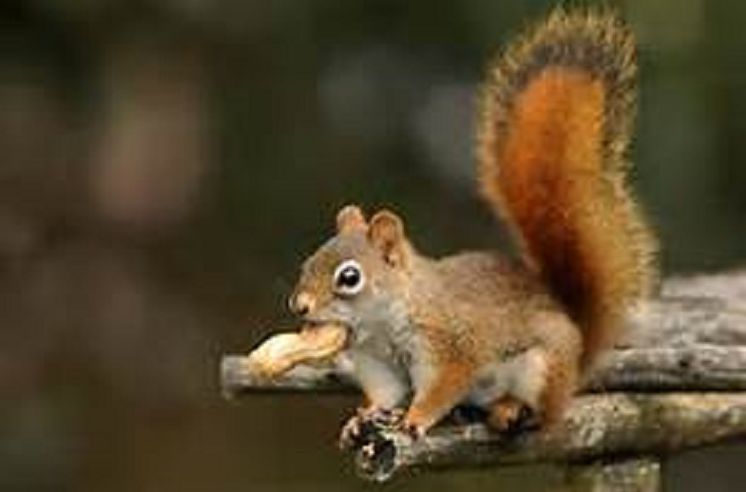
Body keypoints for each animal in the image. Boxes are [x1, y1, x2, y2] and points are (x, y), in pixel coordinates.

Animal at [286, 8, 657, 444]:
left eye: (349, 277)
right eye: (307, 263)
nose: (299, 306)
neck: (384, 321)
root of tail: (579, 349)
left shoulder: (452, 346)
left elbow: (443, 387)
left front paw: (415, 419)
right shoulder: (378, 364)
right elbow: (386, 393)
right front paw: (364, 416)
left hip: (541, 367)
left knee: (547, 413)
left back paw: (511, 409)